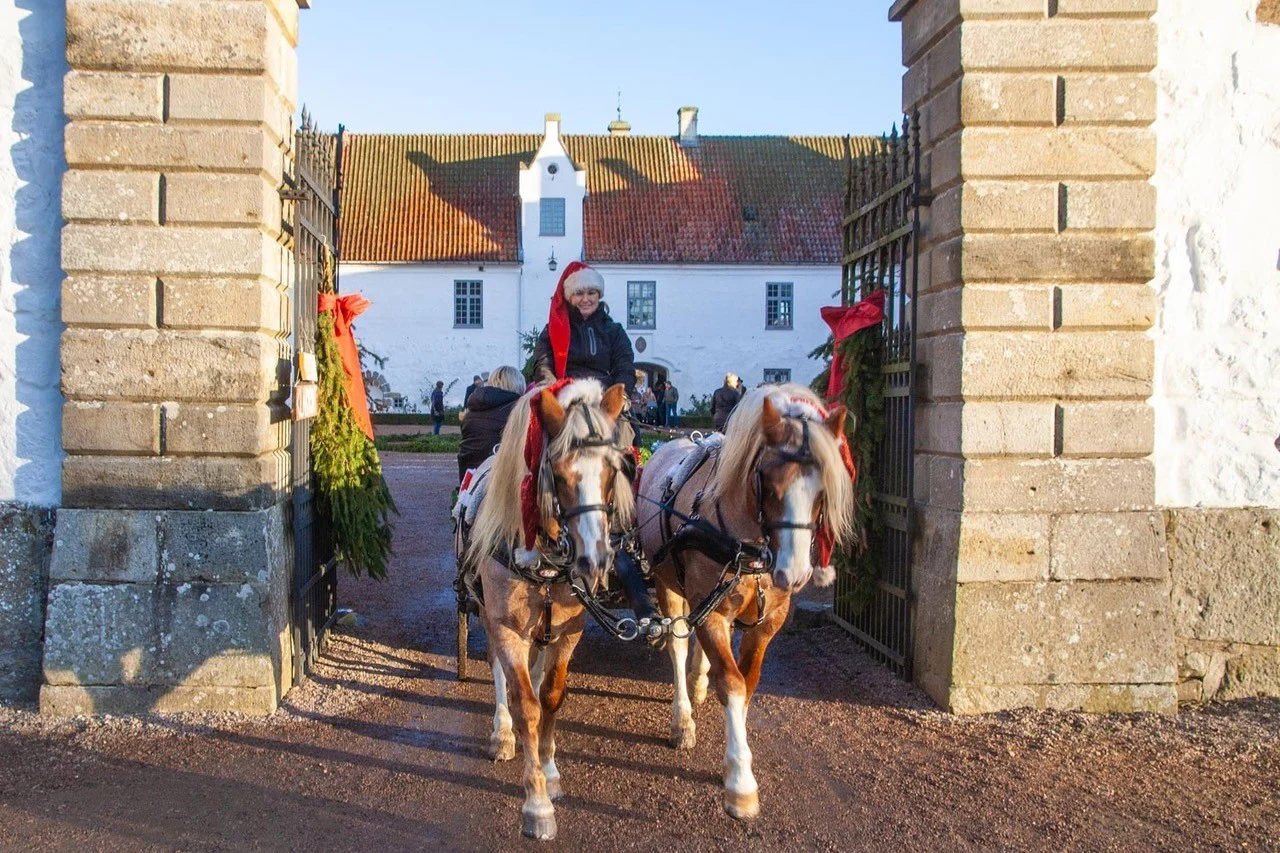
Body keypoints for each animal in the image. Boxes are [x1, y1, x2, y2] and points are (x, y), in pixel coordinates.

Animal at [465, 376, 634, 835]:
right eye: (557, 474)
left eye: (613, 470)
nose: (595, 561)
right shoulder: (506, 625)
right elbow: (525, 704)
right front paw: (536, 802)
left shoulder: (569, 629)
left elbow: (551, 696)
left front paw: (550, 769)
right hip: (488, 616)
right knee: (500, 672)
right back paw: (502, 733)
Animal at [637, 384, 855, 819]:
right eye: (767, 482)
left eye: (823, 490)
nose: (794, 573)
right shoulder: (713, 614)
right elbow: (732, 683)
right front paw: (740, 780)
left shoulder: (768, 620)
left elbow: (748, 681)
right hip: (668, 583)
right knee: (678, 643)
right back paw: (683, 717)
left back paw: (698, 683)